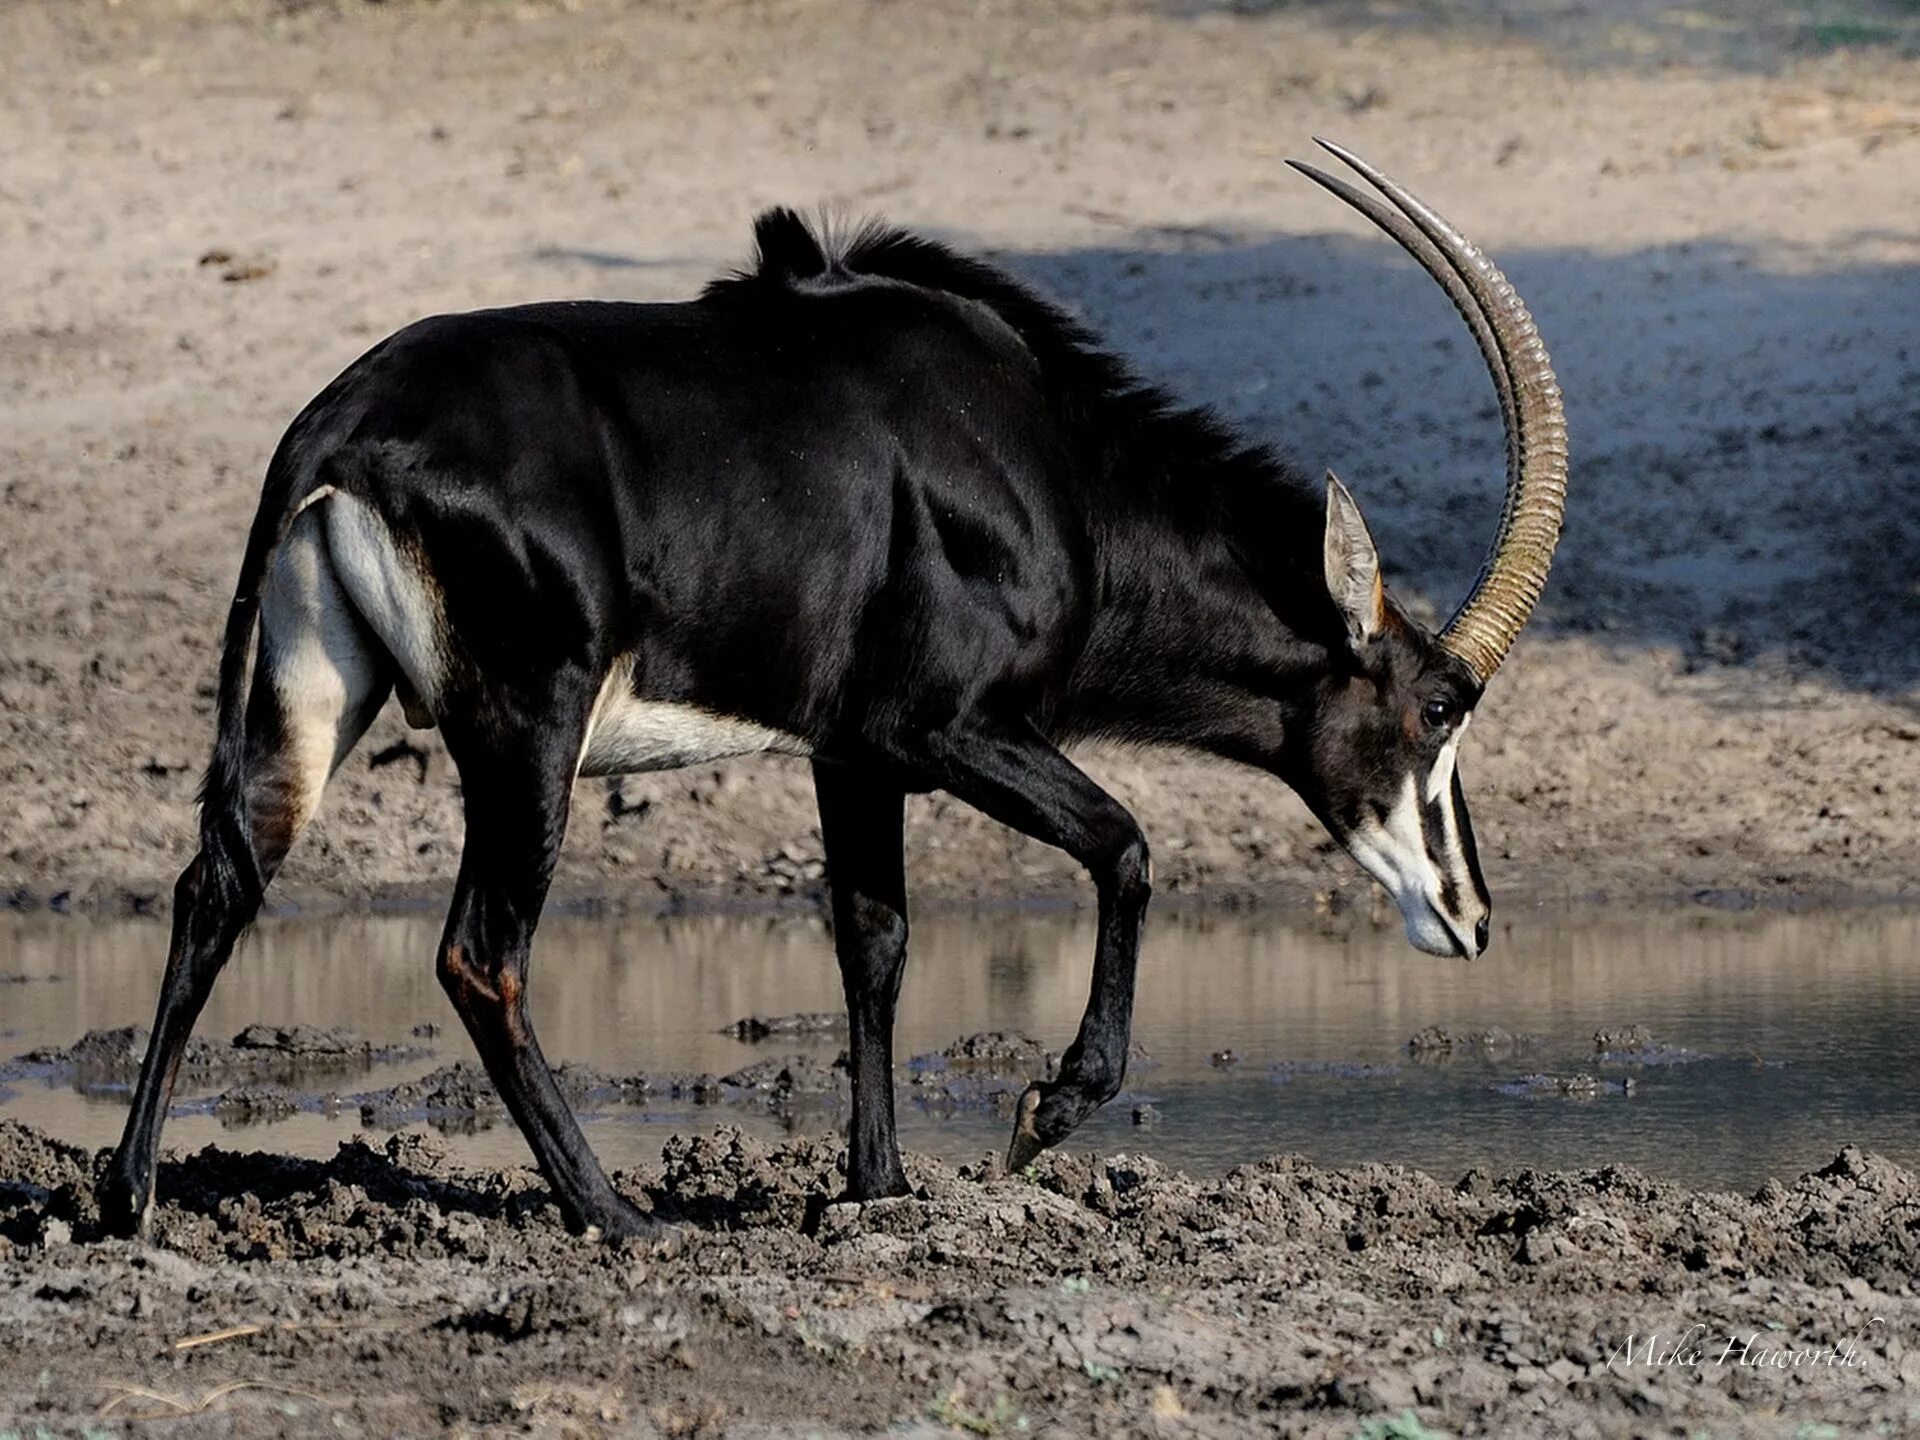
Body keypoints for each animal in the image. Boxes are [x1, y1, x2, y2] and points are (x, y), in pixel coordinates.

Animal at [105, 141, 1559, 1236]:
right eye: (1439, 708)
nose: (1477, 918)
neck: (1054, 462)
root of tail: (335, 429)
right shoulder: (941, 727)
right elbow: (1127, 847)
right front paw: (1038, 1117)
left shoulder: (848, 754)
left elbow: (876, 939)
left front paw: (878, 1187)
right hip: (531, 732)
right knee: (480, 953)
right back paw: (614, 1215)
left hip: (310, 701)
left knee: (217, 883)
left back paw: (127, 1200)